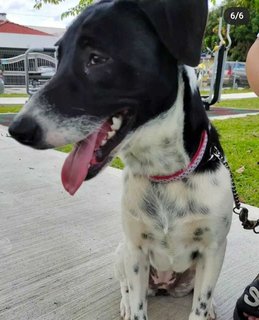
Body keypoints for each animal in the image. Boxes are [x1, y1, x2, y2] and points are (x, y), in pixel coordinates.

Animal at [9, 1, 235, 318]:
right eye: (58, 57)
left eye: (97, 58)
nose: (16, 129)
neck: (165, 174)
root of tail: (164, 284)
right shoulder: (136, 250)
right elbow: (138, 302)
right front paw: (132, 306)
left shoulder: (214, 248)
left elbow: (199, 305)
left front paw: (207, 307)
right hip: (121, 253)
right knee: (126, 286)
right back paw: (125, 303)